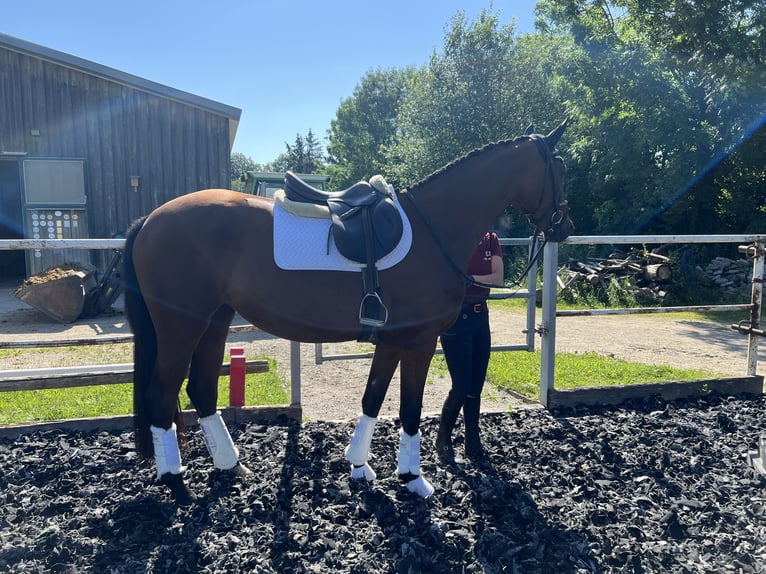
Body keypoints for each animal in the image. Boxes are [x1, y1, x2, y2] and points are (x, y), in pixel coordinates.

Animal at [123, 121, 572, 504]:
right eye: (559, 166)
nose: (564, 227)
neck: (434, 229)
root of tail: (150, 219)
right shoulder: (421, 342)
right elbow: (410, 409)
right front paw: (413, 478)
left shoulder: (392, 341)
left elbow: (373, 398)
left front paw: (360, 466)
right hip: (182, 327)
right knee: (161, 395)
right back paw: (177, 484)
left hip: (215, 323)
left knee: (201, 390)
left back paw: (231, 467)